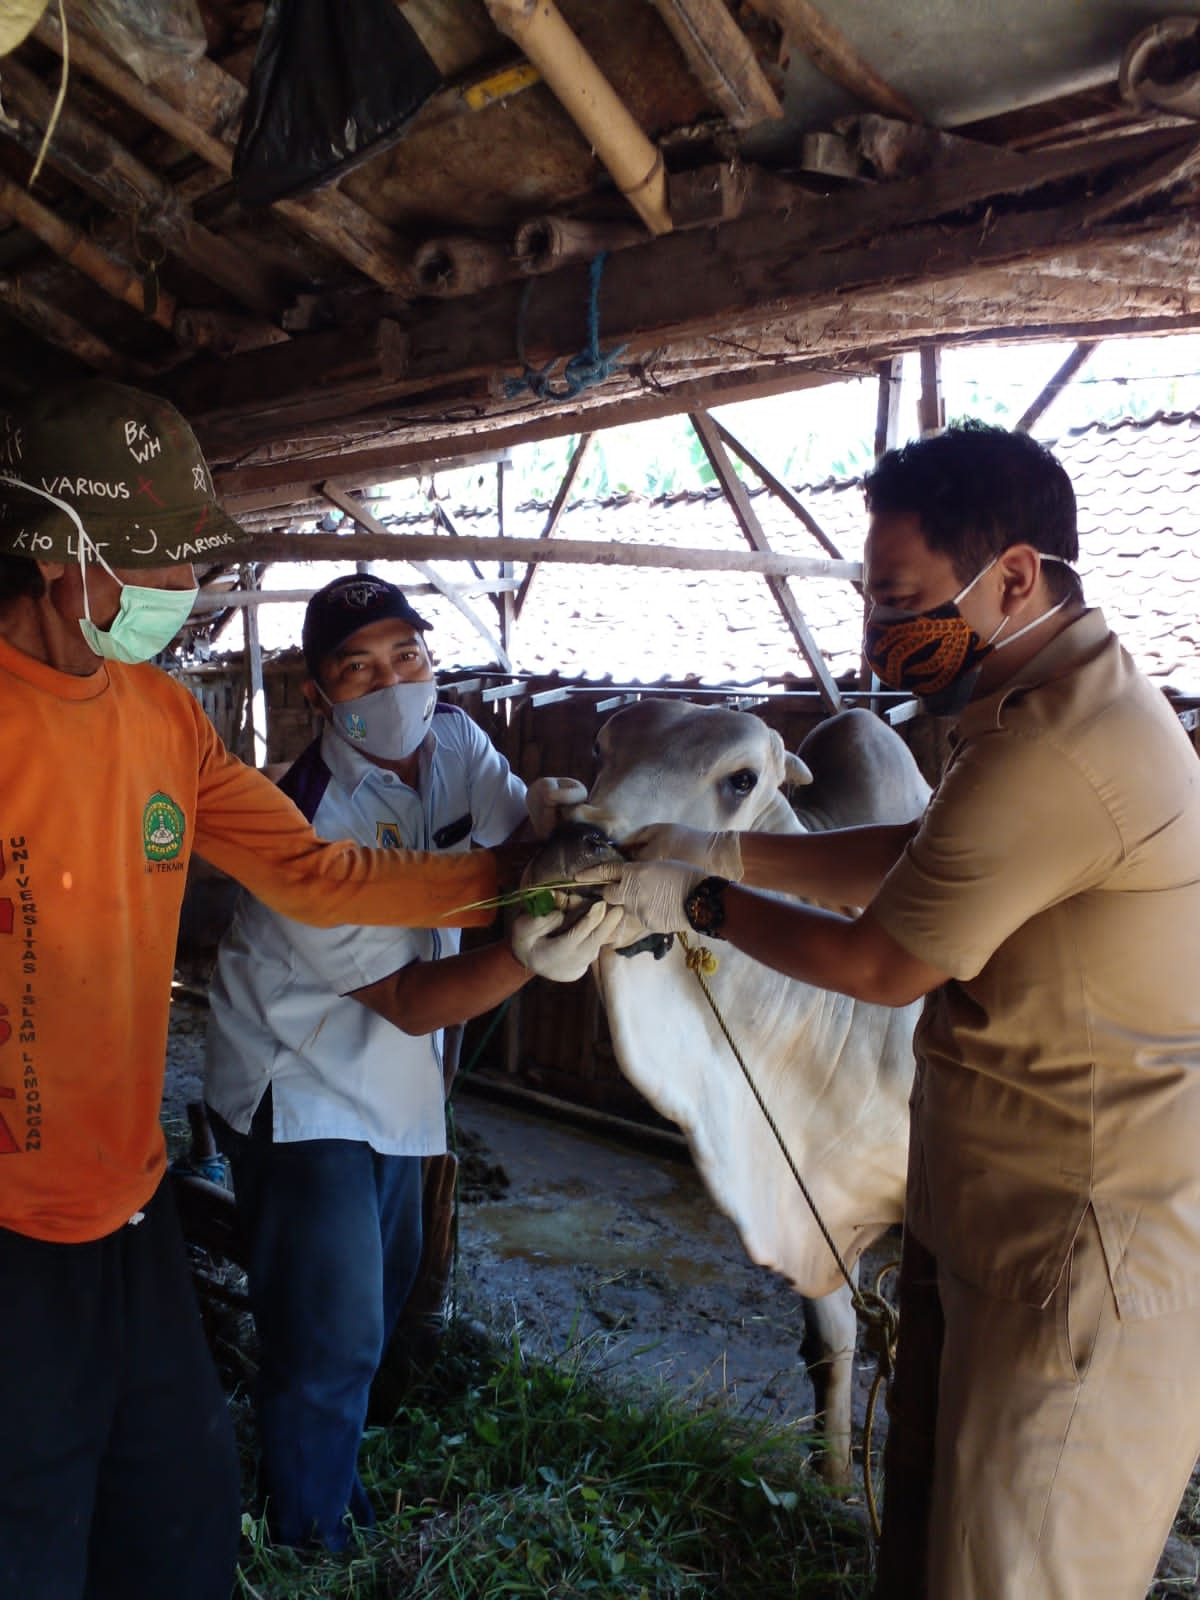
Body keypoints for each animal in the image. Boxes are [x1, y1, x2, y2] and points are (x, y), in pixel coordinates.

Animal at [563, 707, 928, 1478]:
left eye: (742, 779)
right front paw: (833, 1480)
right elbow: (832, 1343)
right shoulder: (816, 1198)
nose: (585, 832)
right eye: (602, 747)